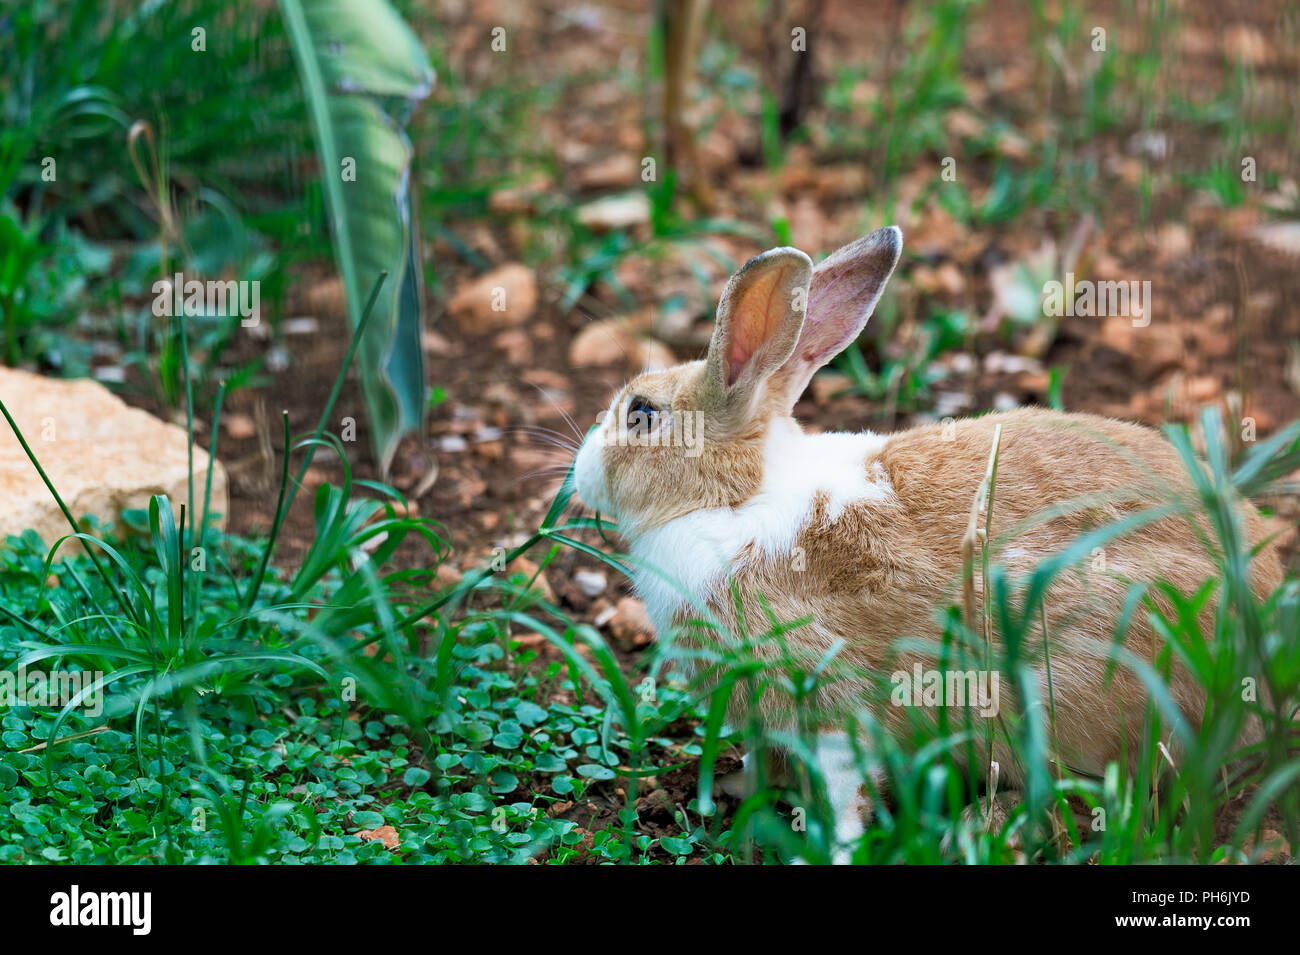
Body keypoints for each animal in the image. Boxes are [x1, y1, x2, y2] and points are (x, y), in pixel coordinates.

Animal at [574, 227, 1284, 857]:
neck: (732, 497)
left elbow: (842, 785)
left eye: (641, 415)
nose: (580, 474)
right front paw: (733, 788)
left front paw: (834, 848)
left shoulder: (826, 698)